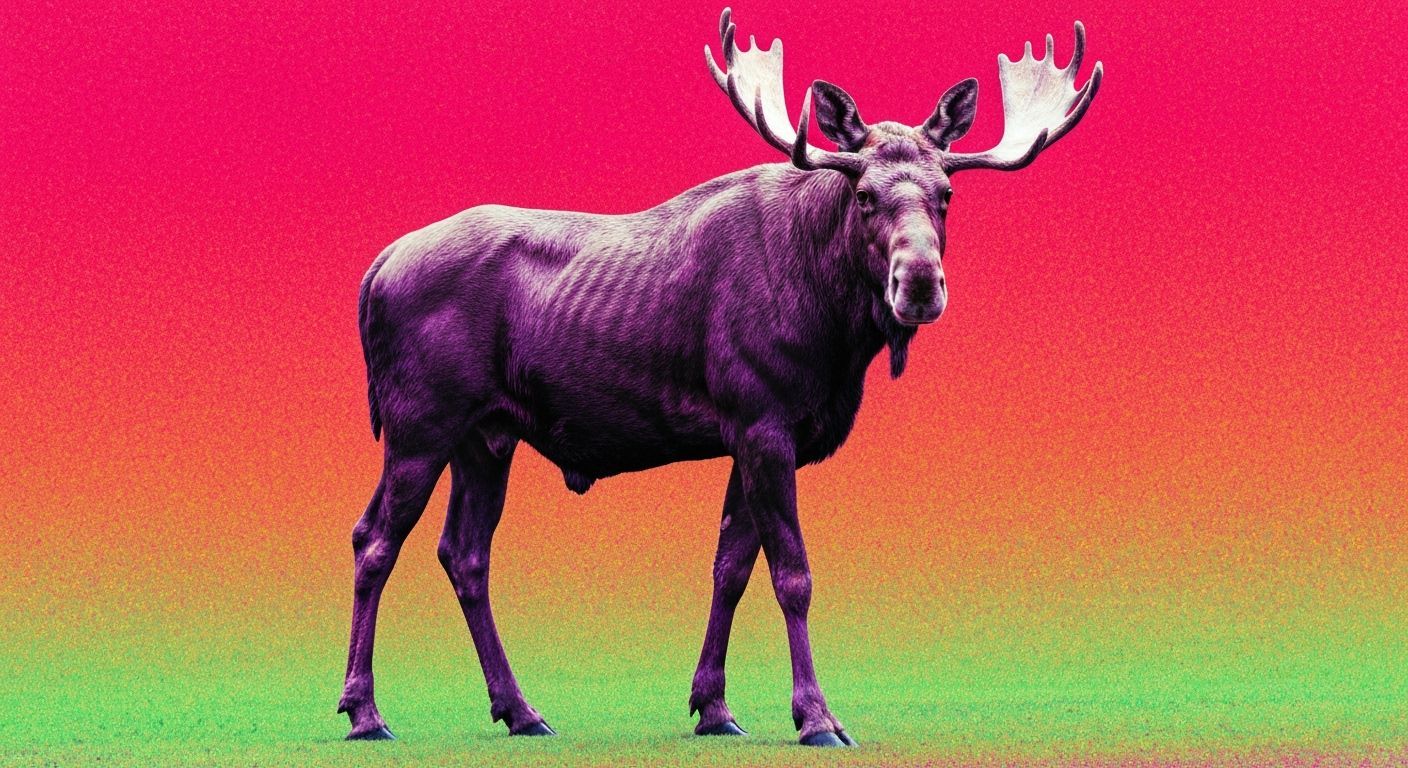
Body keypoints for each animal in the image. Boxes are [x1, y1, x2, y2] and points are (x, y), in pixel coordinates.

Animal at [338, 7, 1102, 747]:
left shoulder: (754, 432)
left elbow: (730, 569)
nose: (917, 284)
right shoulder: (763, 418)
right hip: (419, 424)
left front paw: (713, 707)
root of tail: (376, 270)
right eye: (863, 193)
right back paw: (365, 712)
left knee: (465, 553)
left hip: (487, 436)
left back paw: (520, 710)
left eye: (946, 193)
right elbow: (792, 575)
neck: (835, 335)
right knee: (373, 540)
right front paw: (817, 718)